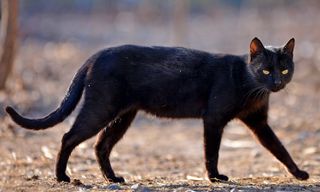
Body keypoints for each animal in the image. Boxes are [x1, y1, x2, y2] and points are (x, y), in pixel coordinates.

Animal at [5, 37, 310, 183]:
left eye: (284, 69)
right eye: (266, 70)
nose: (277, 83)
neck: (252, 88)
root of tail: (95, 55)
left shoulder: (258, 122)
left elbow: (279, 148)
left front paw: (298, 174)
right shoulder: (213, 119)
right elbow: (212, 151)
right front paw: (215, 177)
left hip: (122, 115)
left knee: (101, 145)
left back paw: (113, 178)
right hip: (101, 108)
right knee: (69, 137)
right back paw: (62, 177)